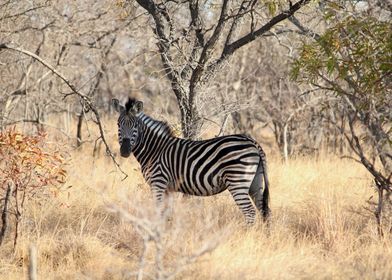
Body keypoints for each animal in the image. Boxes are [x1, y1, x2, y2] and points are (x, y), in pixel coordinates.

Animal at [110, 97, 270, 224]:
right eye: (118, 124)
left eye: (135, 126)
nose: (124, 151)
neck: (154, 149)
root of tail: (252, 142)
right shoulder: (168, 188)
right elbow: (167, 213)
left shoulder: (158, 183)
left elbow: (158, 212)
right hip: (254, 182)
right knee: (264, 210)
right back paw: (264, 237)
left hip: (238, 180)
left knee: (250, 212)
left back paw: (248, 237)